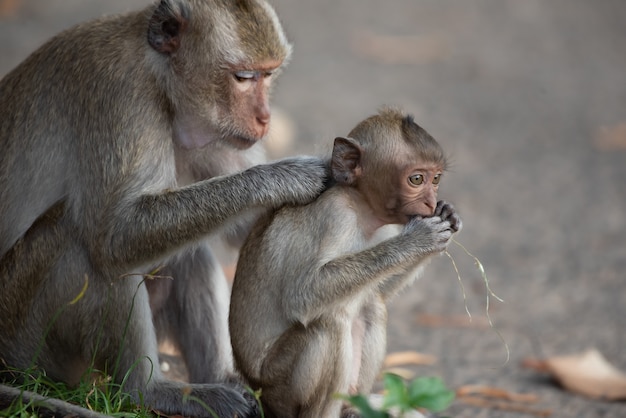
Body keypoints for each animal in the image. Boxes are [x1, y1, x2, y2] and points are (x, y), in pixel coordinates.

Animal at [0, 0, 330, 418]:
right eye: (243, 77)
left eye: (268, 75)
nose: (265, 118)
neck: (161, 79)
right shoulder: (122, 97)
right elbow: (115, 236)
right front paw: (283, 177)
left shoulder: (212, 135)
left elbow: (248, 230)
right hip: (27, 341)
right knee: (86, 248)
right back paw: (147, 391)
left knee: (187, 252)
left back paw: (220, 380)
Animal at [228, 108, 458, 418]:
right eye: (417, 179)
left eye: (436, 179)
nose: (431, 202)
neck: (361, 205)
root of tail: (258, 393)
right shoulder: (335, 215)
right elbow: (303, 294)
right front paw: (418, 240)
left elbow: (378, 291)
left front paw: (447, 217)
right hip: (277, 388)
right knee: (328, 323)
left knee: (371, 305)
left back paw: (354, 408)